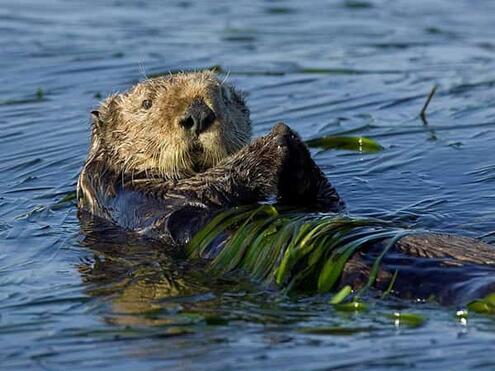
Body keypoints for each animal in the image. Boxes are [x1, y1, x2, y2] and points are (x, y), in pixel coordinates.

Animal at [78, 70, 495, 306]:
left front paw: (291, 143)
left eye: (222, 97)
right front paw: (273, 143)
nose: (198, 114)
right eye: (147, 103)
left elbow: (324, 204)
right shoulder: (131, 196)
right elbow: (198, 193)